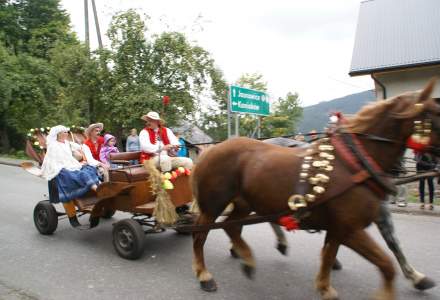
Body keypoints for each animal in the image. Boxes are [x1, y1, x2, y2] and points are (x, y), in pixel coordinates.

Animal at [192, 78, 440, 298]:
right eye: (436, 114)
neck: (356, 162)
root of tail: (210, 150)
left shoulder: (343, 226)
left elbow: (339, 253)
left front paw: (325, 286)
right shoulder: (350, 229)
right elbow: (386, 263)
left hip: (245, 203)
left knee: (232, 226)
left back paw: (247, 258)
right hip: (213, 205)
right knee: (200, 234)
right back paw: (205, 275)